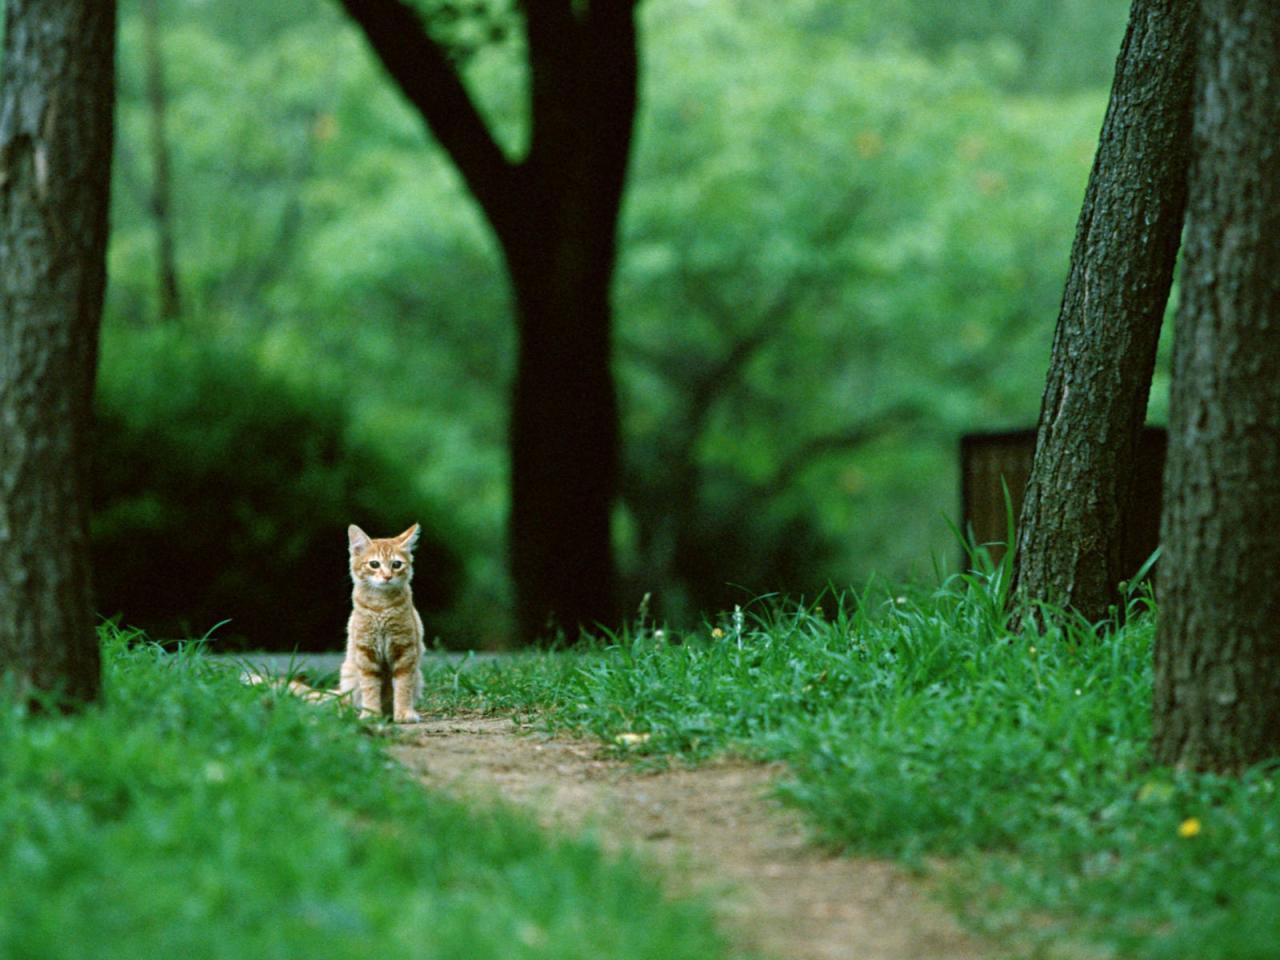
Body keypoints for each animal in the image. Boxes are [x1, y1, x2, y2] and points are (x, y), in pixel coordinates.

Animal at [340, 527, 424, 721]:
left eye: (396, 564)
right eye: (374, 564)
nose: (387, 576)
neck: (381, 607)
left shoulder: (405, 650)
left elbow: (403, 686)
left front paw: (404, 713)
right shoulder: (365, 652)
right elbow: (370, 687)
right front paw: (371, 714)